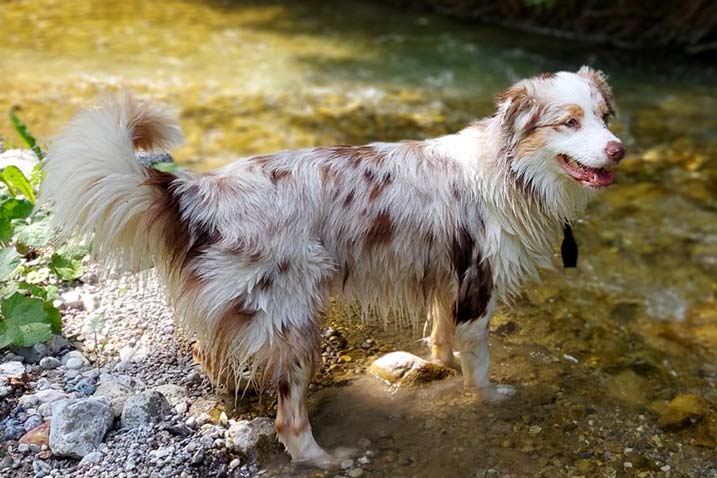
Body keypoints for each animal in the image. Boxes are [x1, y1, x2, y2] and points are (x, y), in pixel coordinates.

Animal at [40, 66, 620, 466]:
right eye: (569, 122)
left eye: (605, 116)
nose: (617, 150)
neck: (512, 170)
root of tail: (201, 192)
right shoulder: (478, 280)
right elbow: (479, 356)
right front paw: (491, 397)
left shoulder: (443, 275)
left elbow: (441, 334)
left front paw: (442, 364)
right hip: (297, 315)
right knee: (288, 419)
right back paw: (323, 458)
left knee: (215, 354)